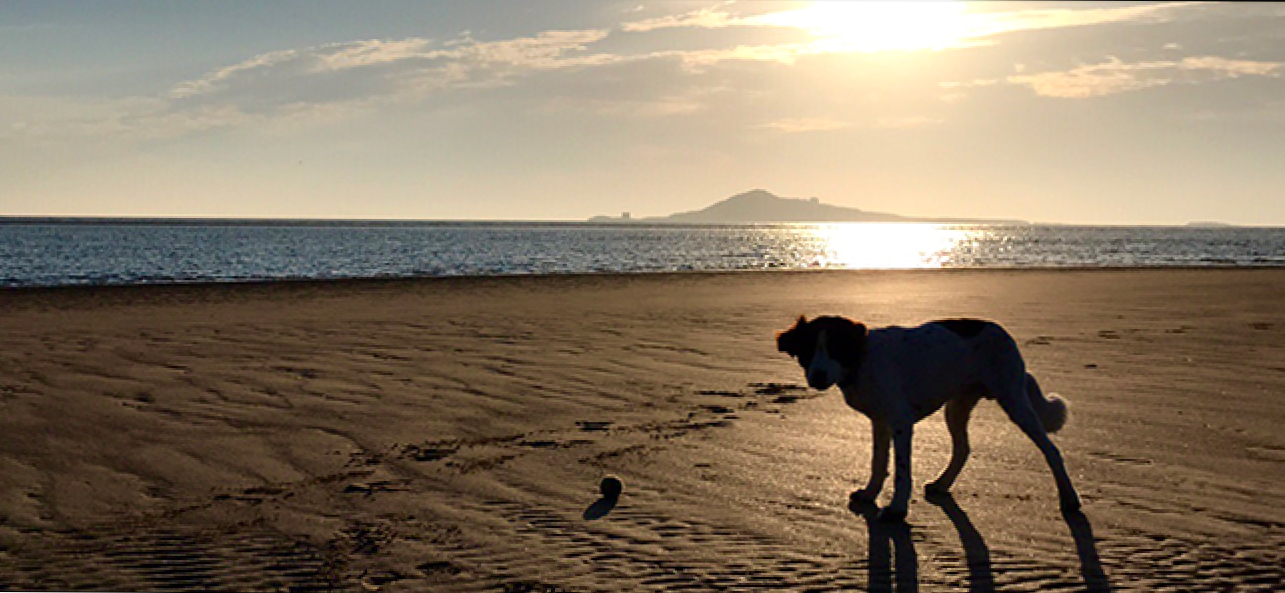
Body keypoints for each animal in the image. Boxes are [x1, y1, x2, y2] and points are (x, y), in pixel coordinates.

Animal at [771, 316, 1084, 519]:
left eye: (836, 347)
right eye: (807, 350)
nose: (817, 376)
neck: (860, 361)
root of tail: (1002, 332)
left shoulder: (901, 422)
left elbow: (901, 470)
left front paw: (897, 508)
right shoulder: (879, 422)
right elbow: (878, 463)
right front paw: (870, 494)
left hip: (1013, 400)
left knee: (1051, 450)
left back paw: (1069, 498)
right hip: (957, 406)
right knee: (963, 449)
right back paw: (942, 484)